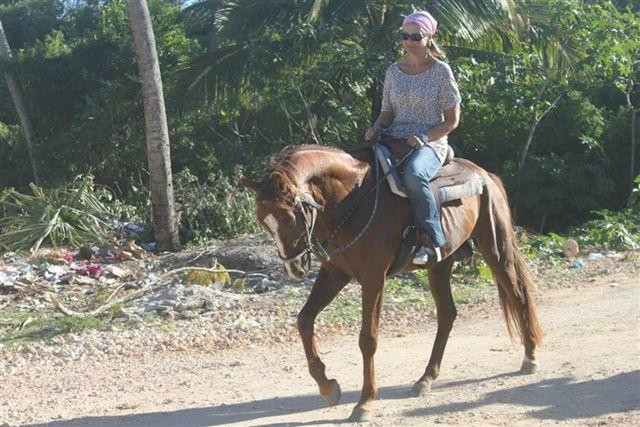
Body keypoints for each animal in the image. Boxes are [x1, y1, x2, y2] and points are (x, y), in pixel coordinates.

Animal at [241, 143, 543, 422]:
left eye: (290, 216)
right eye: (264, 221)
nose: (294, 267)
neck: (351, 200)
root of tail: (486, 176)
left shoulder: (374, 277)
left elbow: (368, 339)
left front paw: (364, 403)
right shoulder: (334, 273)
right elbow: (304, 321)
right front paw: (328, 388)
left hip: (495, 249)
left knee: (517, 295)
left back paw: (530, 357)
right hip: (440, 265)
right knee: (447, 314)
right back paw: (426, 378)